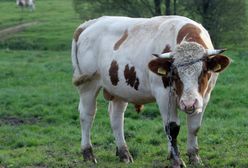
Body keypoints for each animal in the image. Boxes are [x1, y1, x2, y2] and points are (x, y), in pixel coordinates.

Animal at [71, 15, 231, 167]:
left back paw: (124, 153)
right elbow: (172, 127)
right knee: (87, 115)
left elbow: (194, 127)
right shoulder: (163, 94)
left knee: (116, 118)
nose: (188, 103)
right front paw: (177, 160)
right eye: (175, 73)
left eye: (203, 71)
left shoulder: (204, 96)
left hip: (119, 89)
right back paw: (88, 154)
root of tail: (90, 23)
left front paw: (194, 157)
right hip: (88, 85)